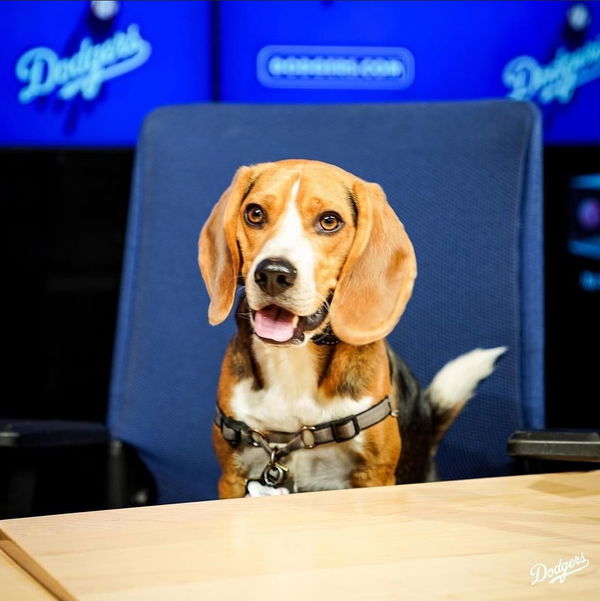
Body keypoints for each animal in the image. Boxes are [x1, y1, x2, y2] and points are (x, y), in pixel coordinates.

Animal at [199, 158, 504, 496]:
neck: (293, 361)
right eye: (254, 213)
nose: (273, 274)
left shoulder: (373, 475)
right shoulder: (233, 475)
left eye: (330, 221)